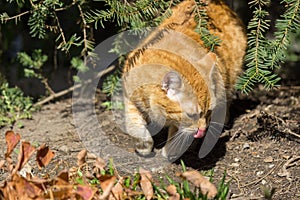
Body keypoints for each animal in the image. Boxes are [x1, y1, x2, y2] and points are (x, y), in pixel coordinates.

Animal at [121, 0, 246, 159]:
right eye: (192, 115)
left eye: (208, 111)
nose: (202, 131)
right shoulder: (128, 93)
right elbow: (133, 122)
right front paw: (144, 145)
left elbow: (178, 137)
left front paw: (169, 152)